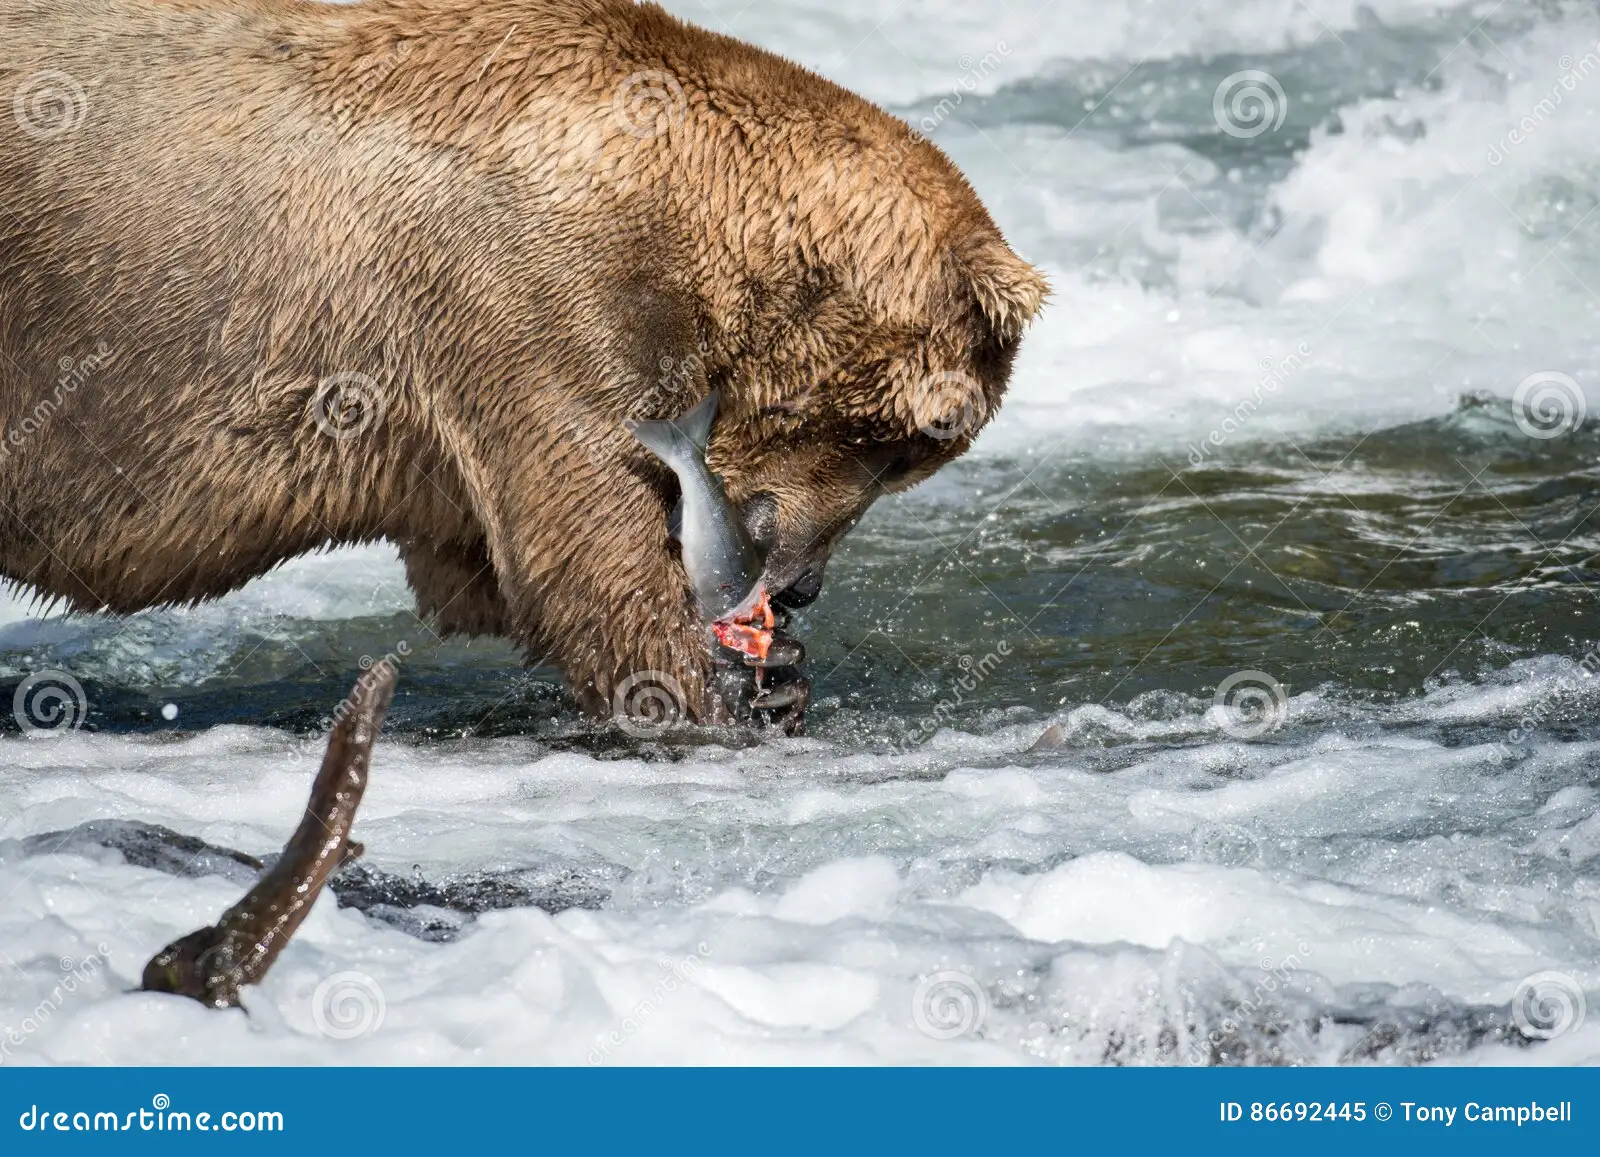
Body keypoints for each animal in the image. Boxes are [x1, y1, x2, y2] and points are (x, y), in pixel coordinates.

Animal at [0, 0, 1046, 725]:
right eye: (896, 442)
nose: (797, 587)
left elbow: (480, 569)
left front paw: (778, 673)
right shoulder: (523, 305)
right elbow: (583, 552)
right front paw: (723, 695)